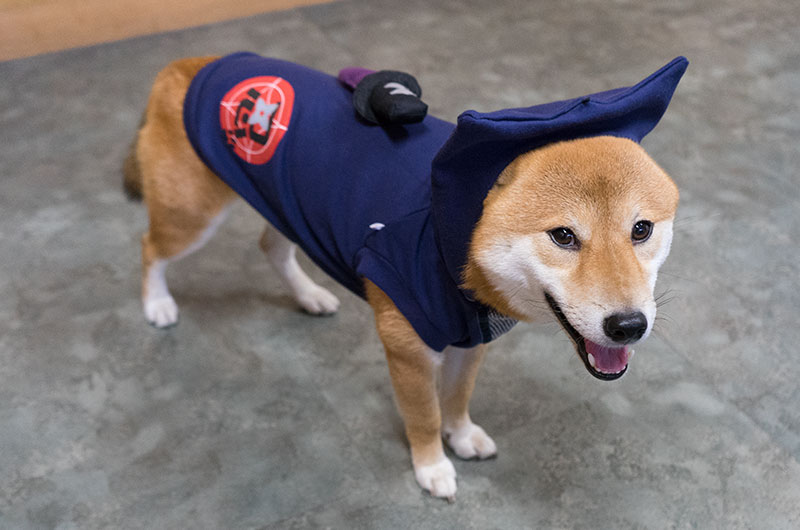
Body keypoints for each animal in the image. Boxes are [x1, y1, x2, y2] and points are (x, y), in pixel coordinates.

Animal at [126, 53, 688, 500]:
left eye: (641, 229)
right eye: (564, 236)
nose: (629, 326)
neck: (451, 241)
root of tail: (194, 64)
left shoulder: (470, 338)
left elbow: (457, 399)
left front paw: (461, 436)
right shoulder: (408, 347)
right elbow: (424, 415)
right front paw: (432, 465)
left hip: (284, 204)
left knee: (271, 248)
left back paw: (308, 295)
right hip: (191, 216)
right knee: (150, 248)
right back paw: (156, 304)